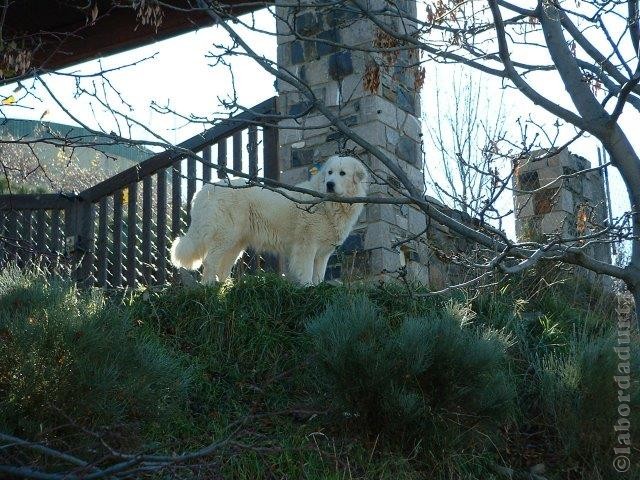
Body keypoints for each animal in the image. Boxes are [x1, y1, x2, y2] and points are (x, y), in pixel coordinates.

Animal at [170, 156, 370, 284]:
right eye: (329, 172)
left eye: (342, 173)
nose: (329, 184)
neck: (328, 204)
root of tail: (206, 188)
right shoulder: (306, 247)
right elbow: (306, 273)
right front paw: (308, 289)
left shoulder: (323, 254)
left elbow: (319, 276)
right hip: (225, 236)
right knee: (210, 263)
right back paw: (210, 289)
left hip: (235, 244)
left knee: (222, 267)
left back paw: (223, 289)